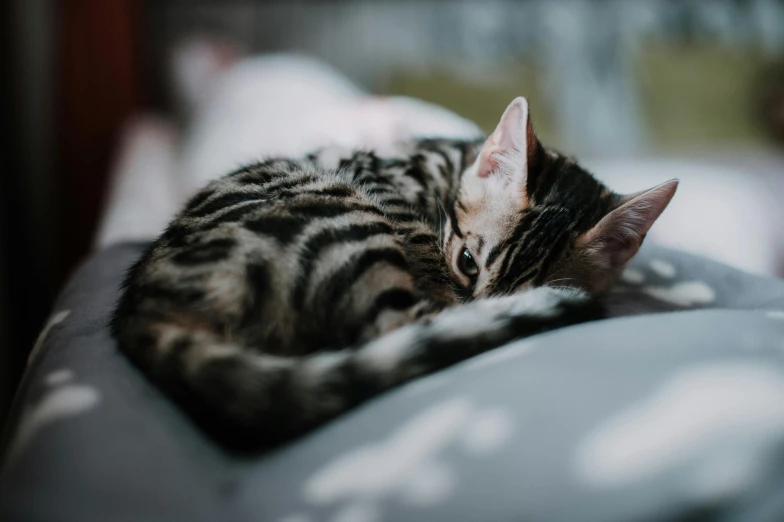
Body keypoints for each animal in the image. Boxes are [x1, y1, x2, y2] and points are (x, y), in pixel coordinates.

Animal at [107, 97, 676, 446]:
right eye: (466, 262)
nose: (480, 300)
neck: (452, 163)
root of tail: (142, 309)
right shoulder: (381, 182)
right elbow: (421, 245)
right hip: (339, 212)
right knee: (399, 328)